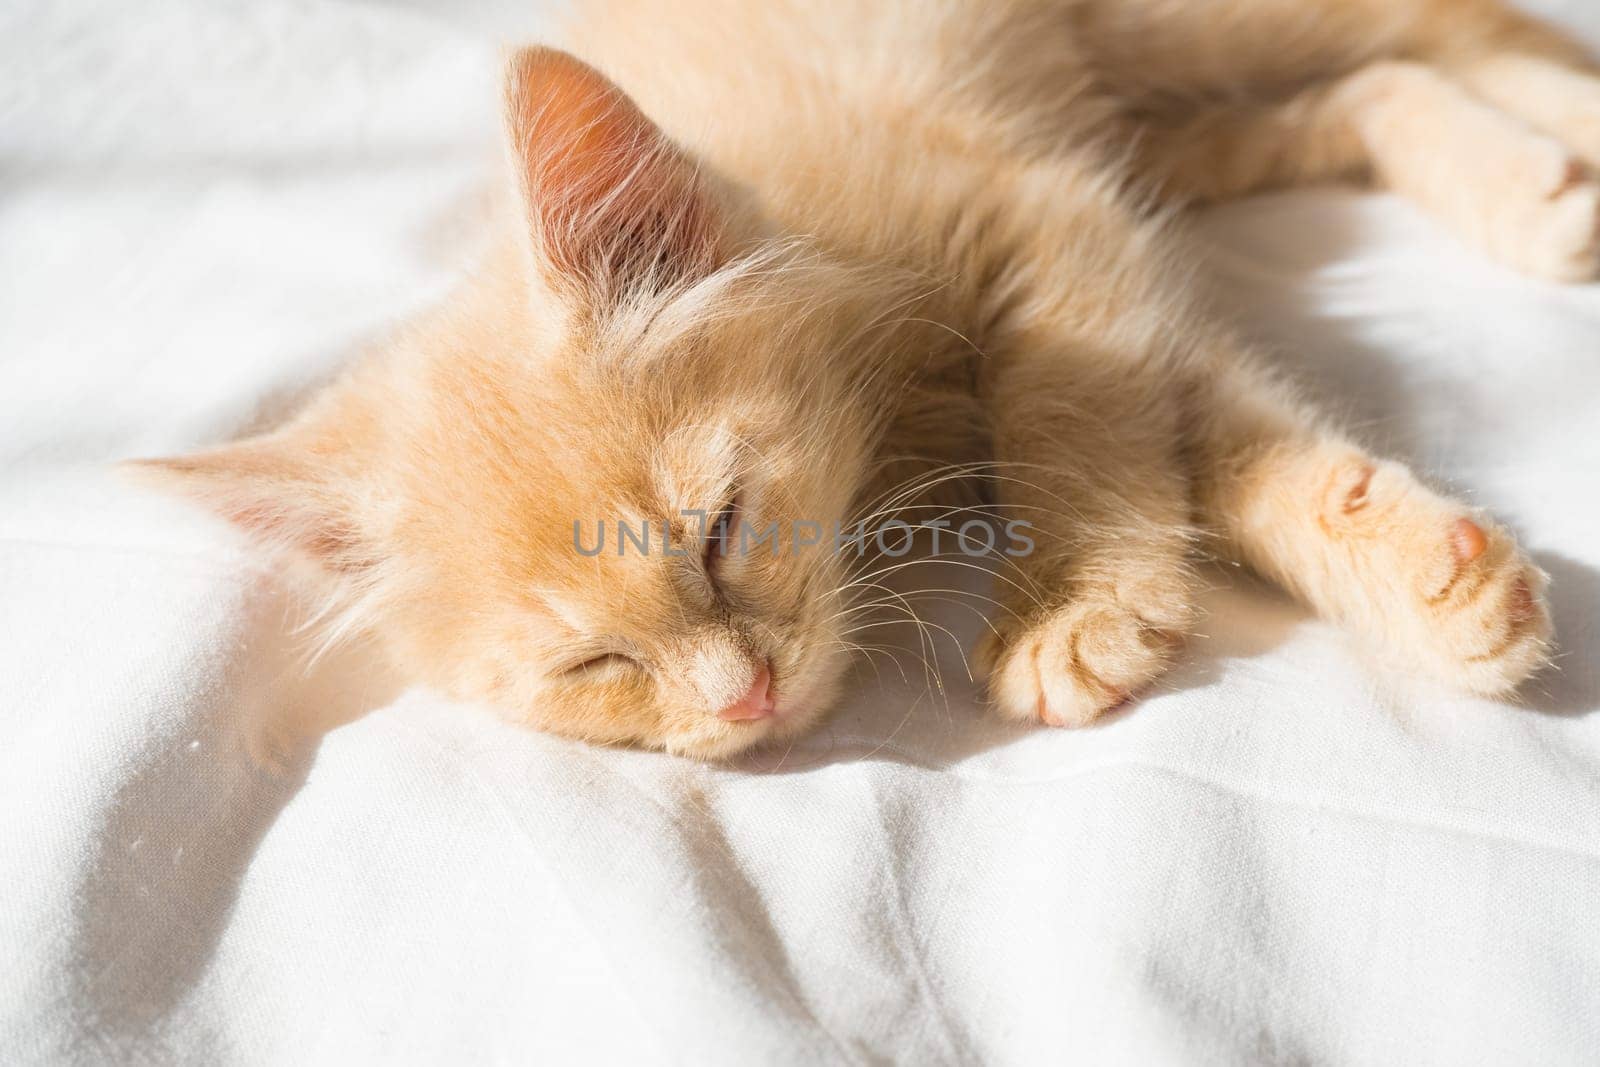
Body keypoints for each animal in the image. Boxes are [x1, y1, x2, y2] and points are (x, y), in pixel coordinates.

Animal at [144, 4, 1593, 764]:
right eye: (592, 664)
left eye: (721, 531)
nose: (741, 699)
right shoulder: (1114, 244)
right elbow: (1236, 447)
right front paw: (1433, 577)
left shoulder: (1049, 222)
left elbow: (1071, 416)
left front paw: (1076, 602)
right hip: (1147, 116)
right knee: (1362, 87)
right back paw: (1528, 188)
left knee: (1450, 24)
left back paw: (1565, 135)